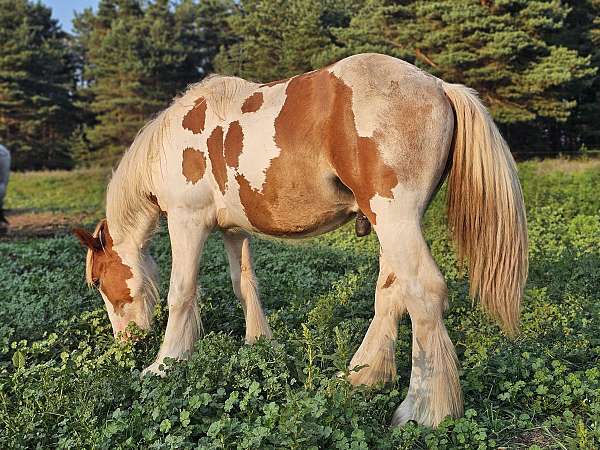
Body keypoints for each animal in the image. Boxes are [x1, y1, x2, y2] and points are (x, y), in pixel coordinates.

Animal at [72, 54, 528, 428]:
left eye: (98, 282)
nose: (127, 342)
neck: (172, 143)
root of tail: (439, 86)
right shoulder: (233, 231)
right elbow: (245, 284)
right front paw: (260, 343)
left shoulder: (187, 221)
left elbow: (181, 293)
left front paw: (165, 363)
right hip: (390, 224)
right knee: (390, 294)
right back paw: (364, 376)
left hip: (395, 219)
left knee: (423, 294)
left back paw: (423, 410)